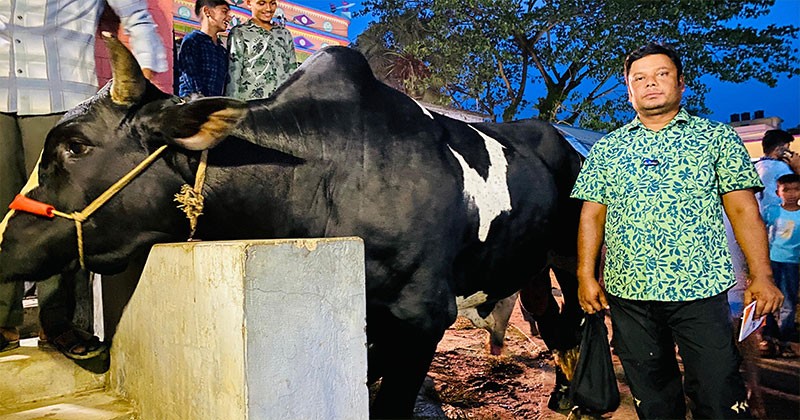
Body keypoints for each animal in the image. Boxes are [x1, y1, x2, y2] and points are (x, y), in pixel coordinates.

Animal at [1, 37, 580, 416]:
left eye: (75, 146)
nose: (3, 241)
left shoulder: (422, 316)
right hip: (529, 267)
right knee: (549, 319)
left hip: (570, 261)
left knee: (573, 319)